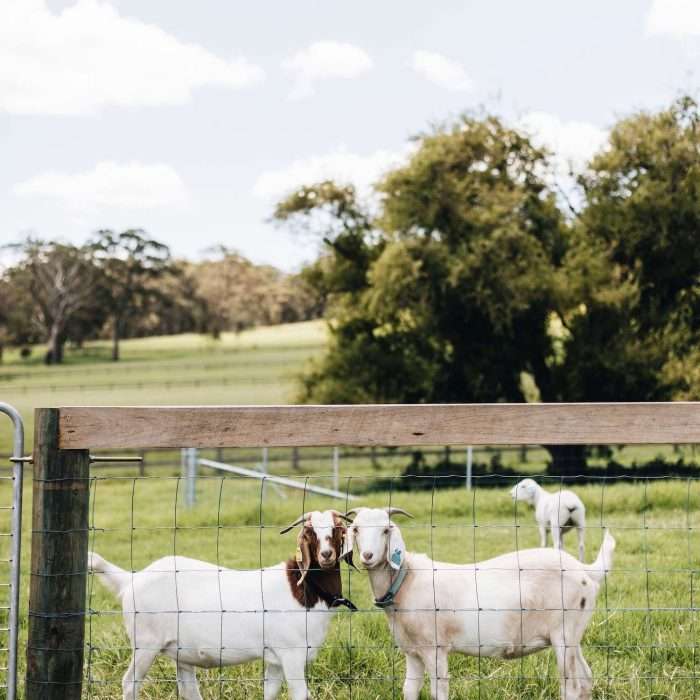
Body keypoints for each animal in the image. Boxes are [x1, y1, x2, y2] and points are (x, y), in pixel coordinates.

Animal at [88, 509, 355, 700]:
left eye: (337, 530)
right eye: (309, 533)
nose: (326, 555)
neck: (301, 588)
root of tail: (130, 580)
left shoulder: (275, 659)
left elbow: (269, 693)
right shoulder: (291, 654)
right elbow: (300, 694)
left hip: (179, 650)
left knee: (188, 689)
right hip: (145, 642)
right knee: (130, 683)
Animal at [345, 506, 614, 700]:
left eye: (386, 530)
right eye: (356, 529)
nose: (367, 556)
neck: (406, 579)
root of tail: (584, 570)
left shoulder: (435, 648)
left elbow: (438, 691)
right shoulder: (412, 651)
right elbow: (409, 690)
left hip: (564, 635)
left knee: (571, 688)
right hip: (573, 635)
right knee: (586, 681)